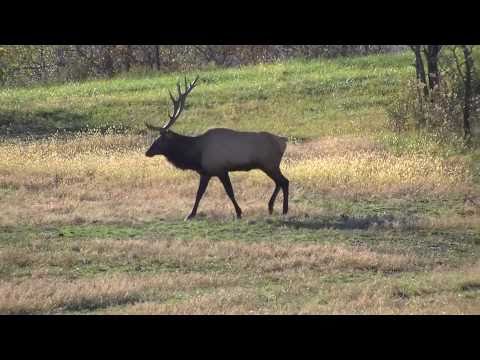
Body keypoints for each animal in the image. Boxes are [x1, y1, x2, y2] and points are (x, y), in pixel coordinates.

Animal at [146, 76, 288, 219]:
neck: (196, 155)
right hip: (270, 165)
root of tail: (284, 141)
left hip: (269, 164)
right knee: (279, 182)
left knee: (284, 181)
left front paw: (238, 212)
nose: (147, 152)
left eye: (160, 139)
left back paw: (284, 209)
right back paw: (271, 207)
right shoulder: (206, 172)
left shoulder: (220, 169)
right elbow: (199, 193)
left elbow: (229, 191)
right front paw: (191, 214)